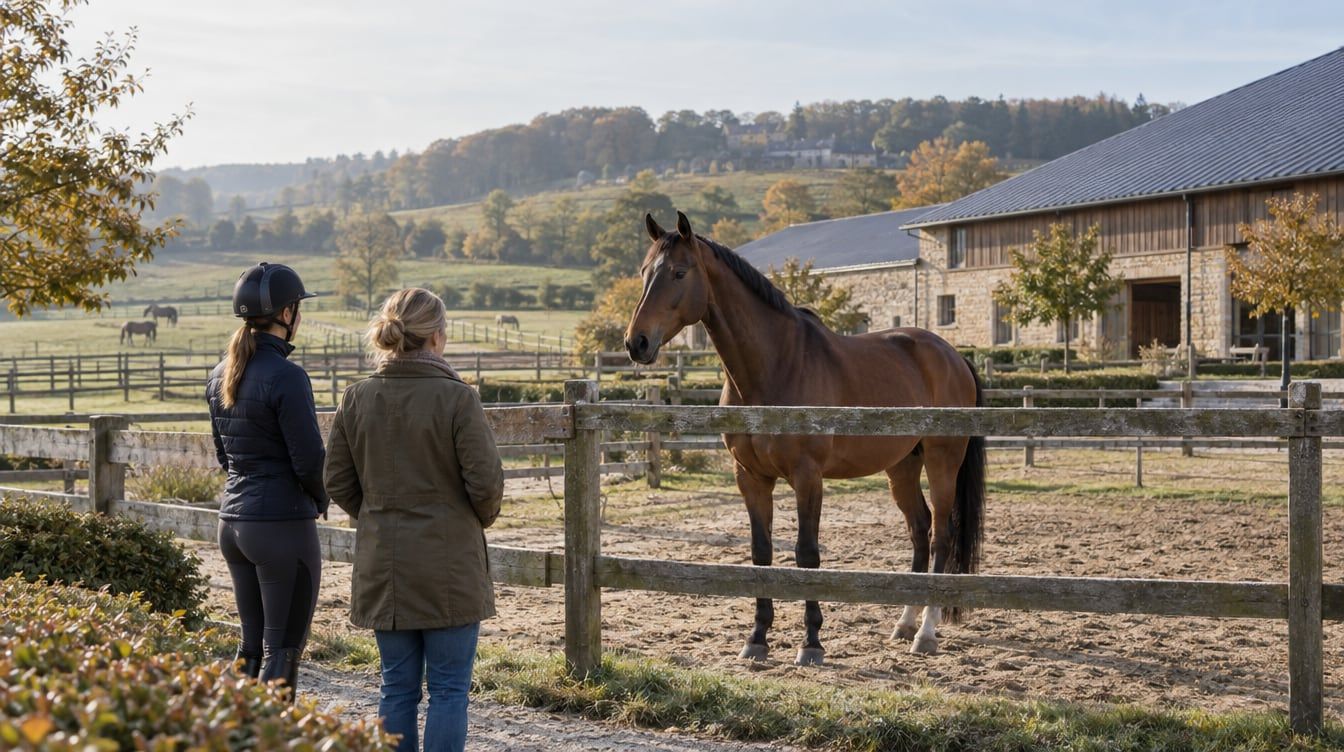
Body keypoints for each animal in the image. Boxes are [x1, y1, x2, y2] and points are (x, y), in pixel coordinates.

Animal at [625, 210, 984, 664]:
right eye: (643, 272)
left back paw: (926, 632)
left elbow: (806, 553)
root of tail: (953, 356)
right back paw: (904, 624)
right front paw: (757, 639)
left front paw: (811, 642)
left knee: (940, 536)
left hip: (942, 461)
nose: (636, 343)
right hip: (902, 466)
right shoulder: (751, 478)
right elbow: (761, 553)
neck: (774, 367)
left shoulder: (807, 477)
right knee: (919, 532)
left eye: (678, 272)